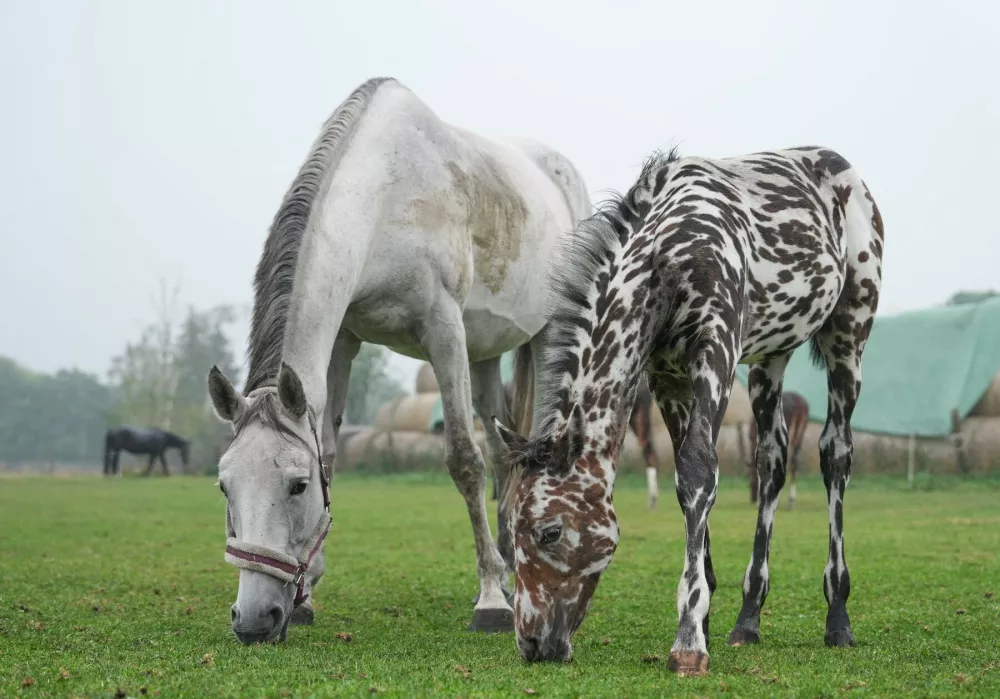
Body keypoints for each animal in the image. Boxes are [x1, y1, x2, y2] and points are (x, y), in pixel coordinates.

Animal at [205, 76, 591, 644]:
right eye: (224, 485)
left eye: (297, 486)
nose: (254, 620)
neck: (385, 196)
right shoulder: (345, 339)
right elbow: (333, 451)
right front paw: (309, 595)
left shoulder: (443, 330)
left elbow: (463, 460)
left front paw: (491, 601)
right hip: (483, 354)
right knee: (505, 453)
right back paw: (509, 564)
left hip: (546, 336)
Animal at [494, 145, 883, 674]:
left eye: (549, 532)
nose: (531, 643)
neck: (670, 255)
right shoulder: (668, 376)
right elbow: (687, 481)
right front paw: (706, 617)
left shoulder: (715, 355)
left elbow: (698, 469)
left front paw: (689, 642)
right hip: (769, 357)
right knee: (772, 459)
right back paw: (748, 618)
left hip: (848, 335)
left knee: (835, 453)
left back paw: (838, 617)